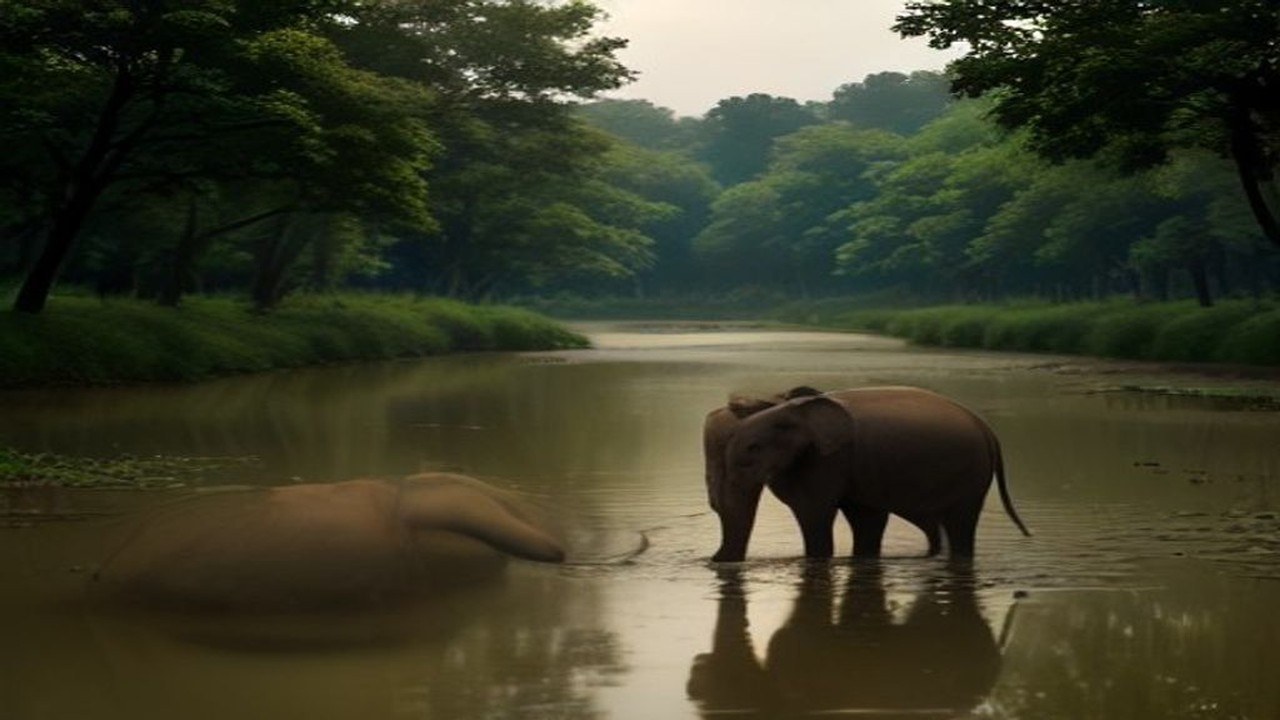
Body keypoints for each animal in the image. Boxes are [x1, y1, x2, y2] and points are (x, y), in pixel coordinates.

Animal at [705, 386, 1030, 562]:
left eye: (753, 450)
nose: (714, 562)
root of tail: (988, 431)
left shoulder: (828, 458)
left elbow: (813, 512)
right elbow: (866, 515)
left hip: (970, 471)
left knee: (960, 521)